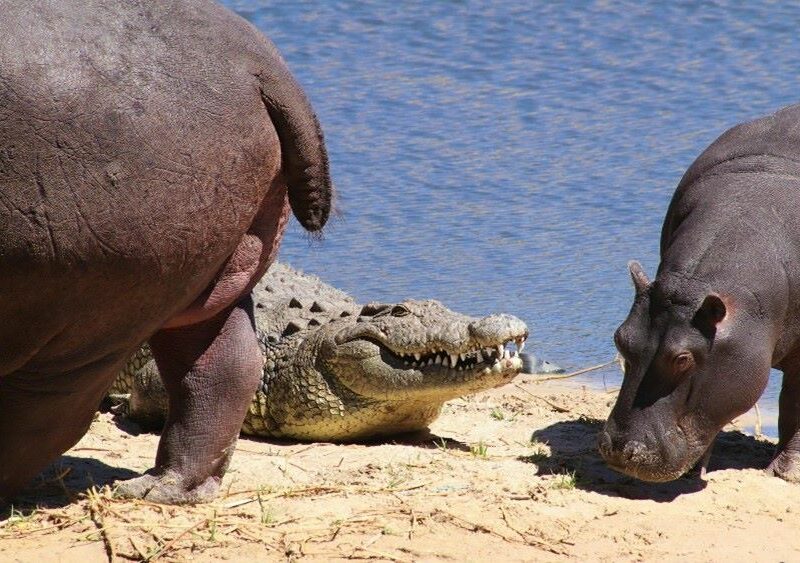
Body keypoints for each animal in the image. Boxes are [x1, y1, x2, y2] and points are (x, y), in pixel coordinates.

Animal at [0, 0, 332, 503]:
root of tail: (260, 64)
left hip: (81, 304)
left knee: (47, 410)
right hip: (204, 273)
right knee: (221, 367)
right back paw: (166, 487)